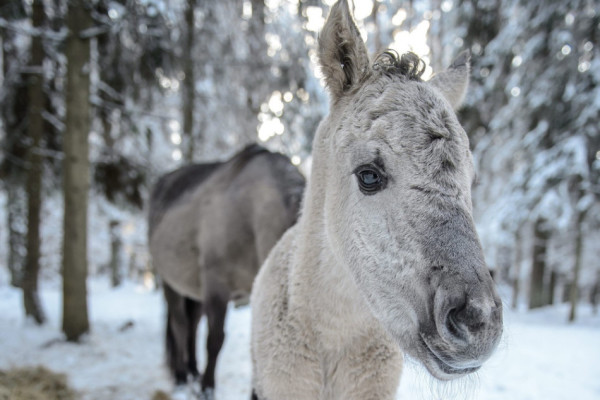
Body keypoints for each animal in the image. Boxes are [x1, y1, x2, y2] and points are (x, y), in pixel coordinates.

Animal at [148, 145, 302, 396]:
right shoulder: (216, 288)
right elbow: (215, 340)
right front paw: (206, 389)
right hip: (170, 283)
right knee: (179, 325)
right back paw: (181, 377)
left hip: (196, 292)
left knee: (192, 325)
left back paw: (193, 370)